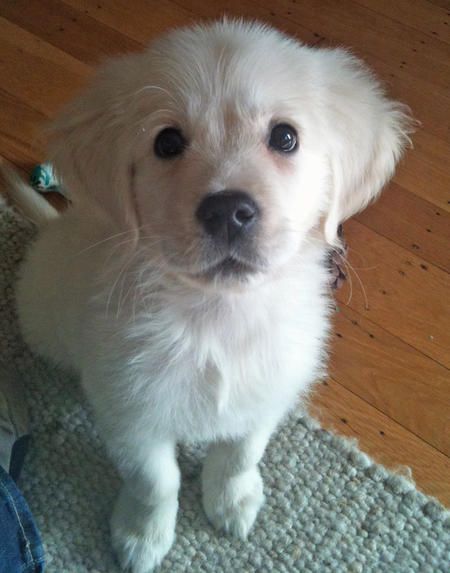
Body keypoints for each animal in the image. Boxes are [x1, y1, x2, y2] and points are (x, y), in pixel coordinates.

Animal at [8, 19, 414, 572]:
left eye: (285, 137)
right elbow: (156, 481)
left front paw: (232, 501)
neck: (218, 317)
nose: (228, 211)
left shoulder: (267, 391)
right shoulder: (132, 412)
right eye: (167, 142)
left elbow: (241, 453)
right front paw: (142, 535)